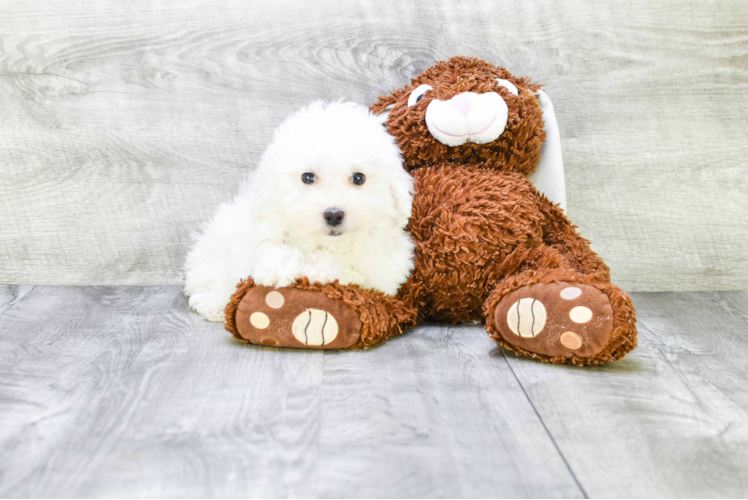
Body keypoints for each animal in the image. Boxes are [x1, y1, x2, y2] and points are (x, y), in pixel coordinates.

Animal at [183, 99, 414, 322]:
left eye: (359, 178)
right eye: (308, 177)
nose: (333, 215)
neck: (324, 245)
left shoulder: (379, 270)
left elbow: (342, 268)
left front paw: (306, 269)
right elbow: (268, 253)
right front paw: (277, 268)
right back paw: (213, 304)